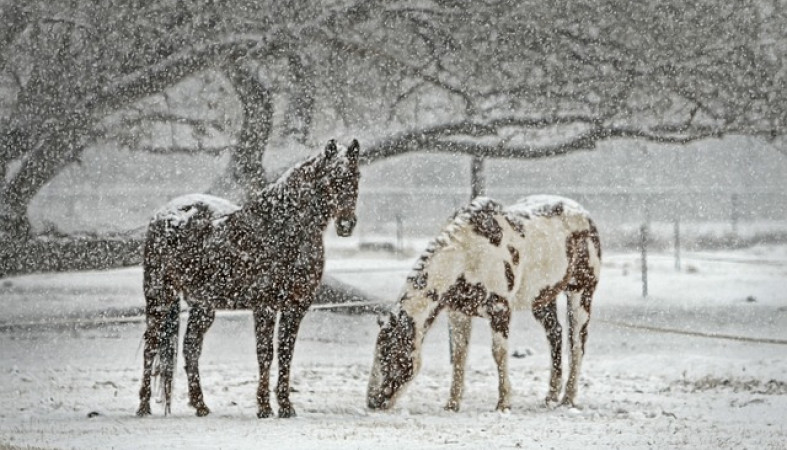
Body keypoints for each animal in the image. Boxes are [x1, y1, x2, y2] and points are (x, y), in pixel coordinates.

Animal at [137, 140, 362, 418]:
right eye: (331, 179)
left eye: (356, 176)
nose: (346, 224)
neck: (283, 229)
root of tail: (164, 215)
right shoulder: (265, 306)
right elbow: (265, 354)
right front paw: (264, 407)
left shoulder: (295, 307)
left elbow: (286, 353)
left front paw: (286, 406)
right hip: (159, 296)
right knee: (151, 345)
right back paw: (143, 406)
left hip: (202, 306)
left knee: (190, 348)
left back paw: (201, 405)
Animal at [370, 195, 604, 414]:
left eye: (391, 354)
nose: (372, 402)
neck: (467, 255)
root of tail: (585, 215)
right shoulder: (459, 313)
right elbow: (459, 355)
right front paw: (452, 404)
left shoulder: (500, 310)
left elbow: (499, 353)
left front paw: (504, 403)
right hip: (542, 299)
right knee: (555, 335)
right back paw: (551, 397)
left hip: (581, 292)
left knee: (577, 343)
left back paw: (568, 399)